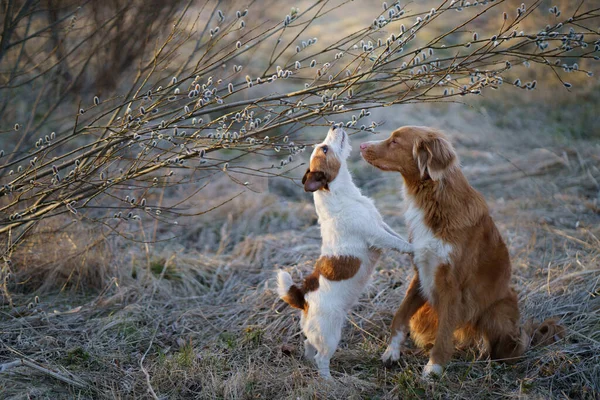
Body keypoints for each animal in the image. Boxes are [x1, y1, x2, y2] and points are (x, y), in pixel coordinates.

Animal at [276, 127, 412, 378]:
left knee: (308, 345)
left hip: (316, 334)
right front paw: (416, 248)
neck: (343, 196)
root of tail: (303, 299)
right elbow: (396, 243)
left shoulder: (380, 224)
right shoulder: (375, 235)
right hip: (330, 335)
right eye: (324, 149)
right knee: (321, 358)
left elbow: (395, 236)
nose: (334, 125)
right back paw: (329, 381)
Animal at [360, 126, 564, 378]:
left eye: (395, 142)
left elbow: (444, 332)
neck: (432, 200)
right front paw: (392, 352)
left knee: (506, 347)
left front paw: (434, 369)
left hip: (496, 312)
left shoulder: (452, 285)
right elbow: (400, 315)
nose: (361, 146)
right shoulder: (421, 273)